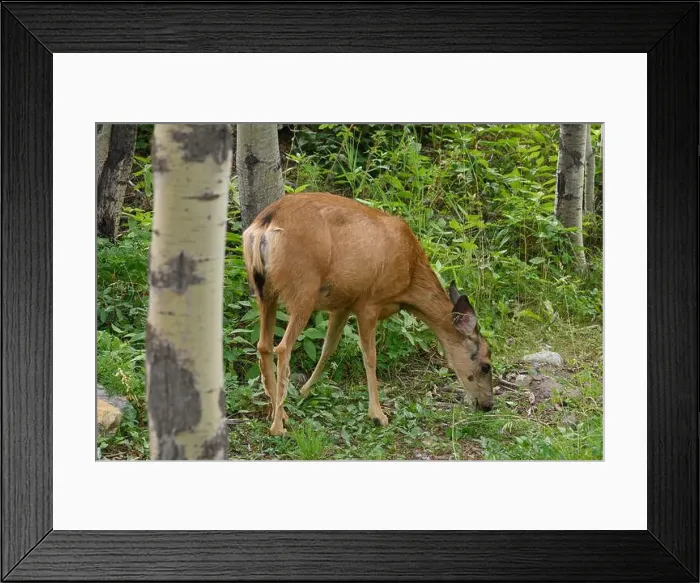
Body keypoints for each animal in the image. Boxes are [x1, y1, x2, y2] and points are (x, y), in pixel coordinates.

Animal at [242, 192, 493, 436]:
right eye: (486, 365)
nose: (488, 405)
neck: (410, 279)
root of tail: (265, 224)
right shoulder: (369, 303)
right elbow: (370, 356)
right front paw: (378, 415)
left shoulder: (344, 304)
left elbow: (328, 348)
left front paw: (305, 390)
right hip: (303, 289)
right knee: (283, 348)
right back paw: (278, 426)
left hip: (265, 291)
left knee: (263, 345)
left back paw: (279, 413)